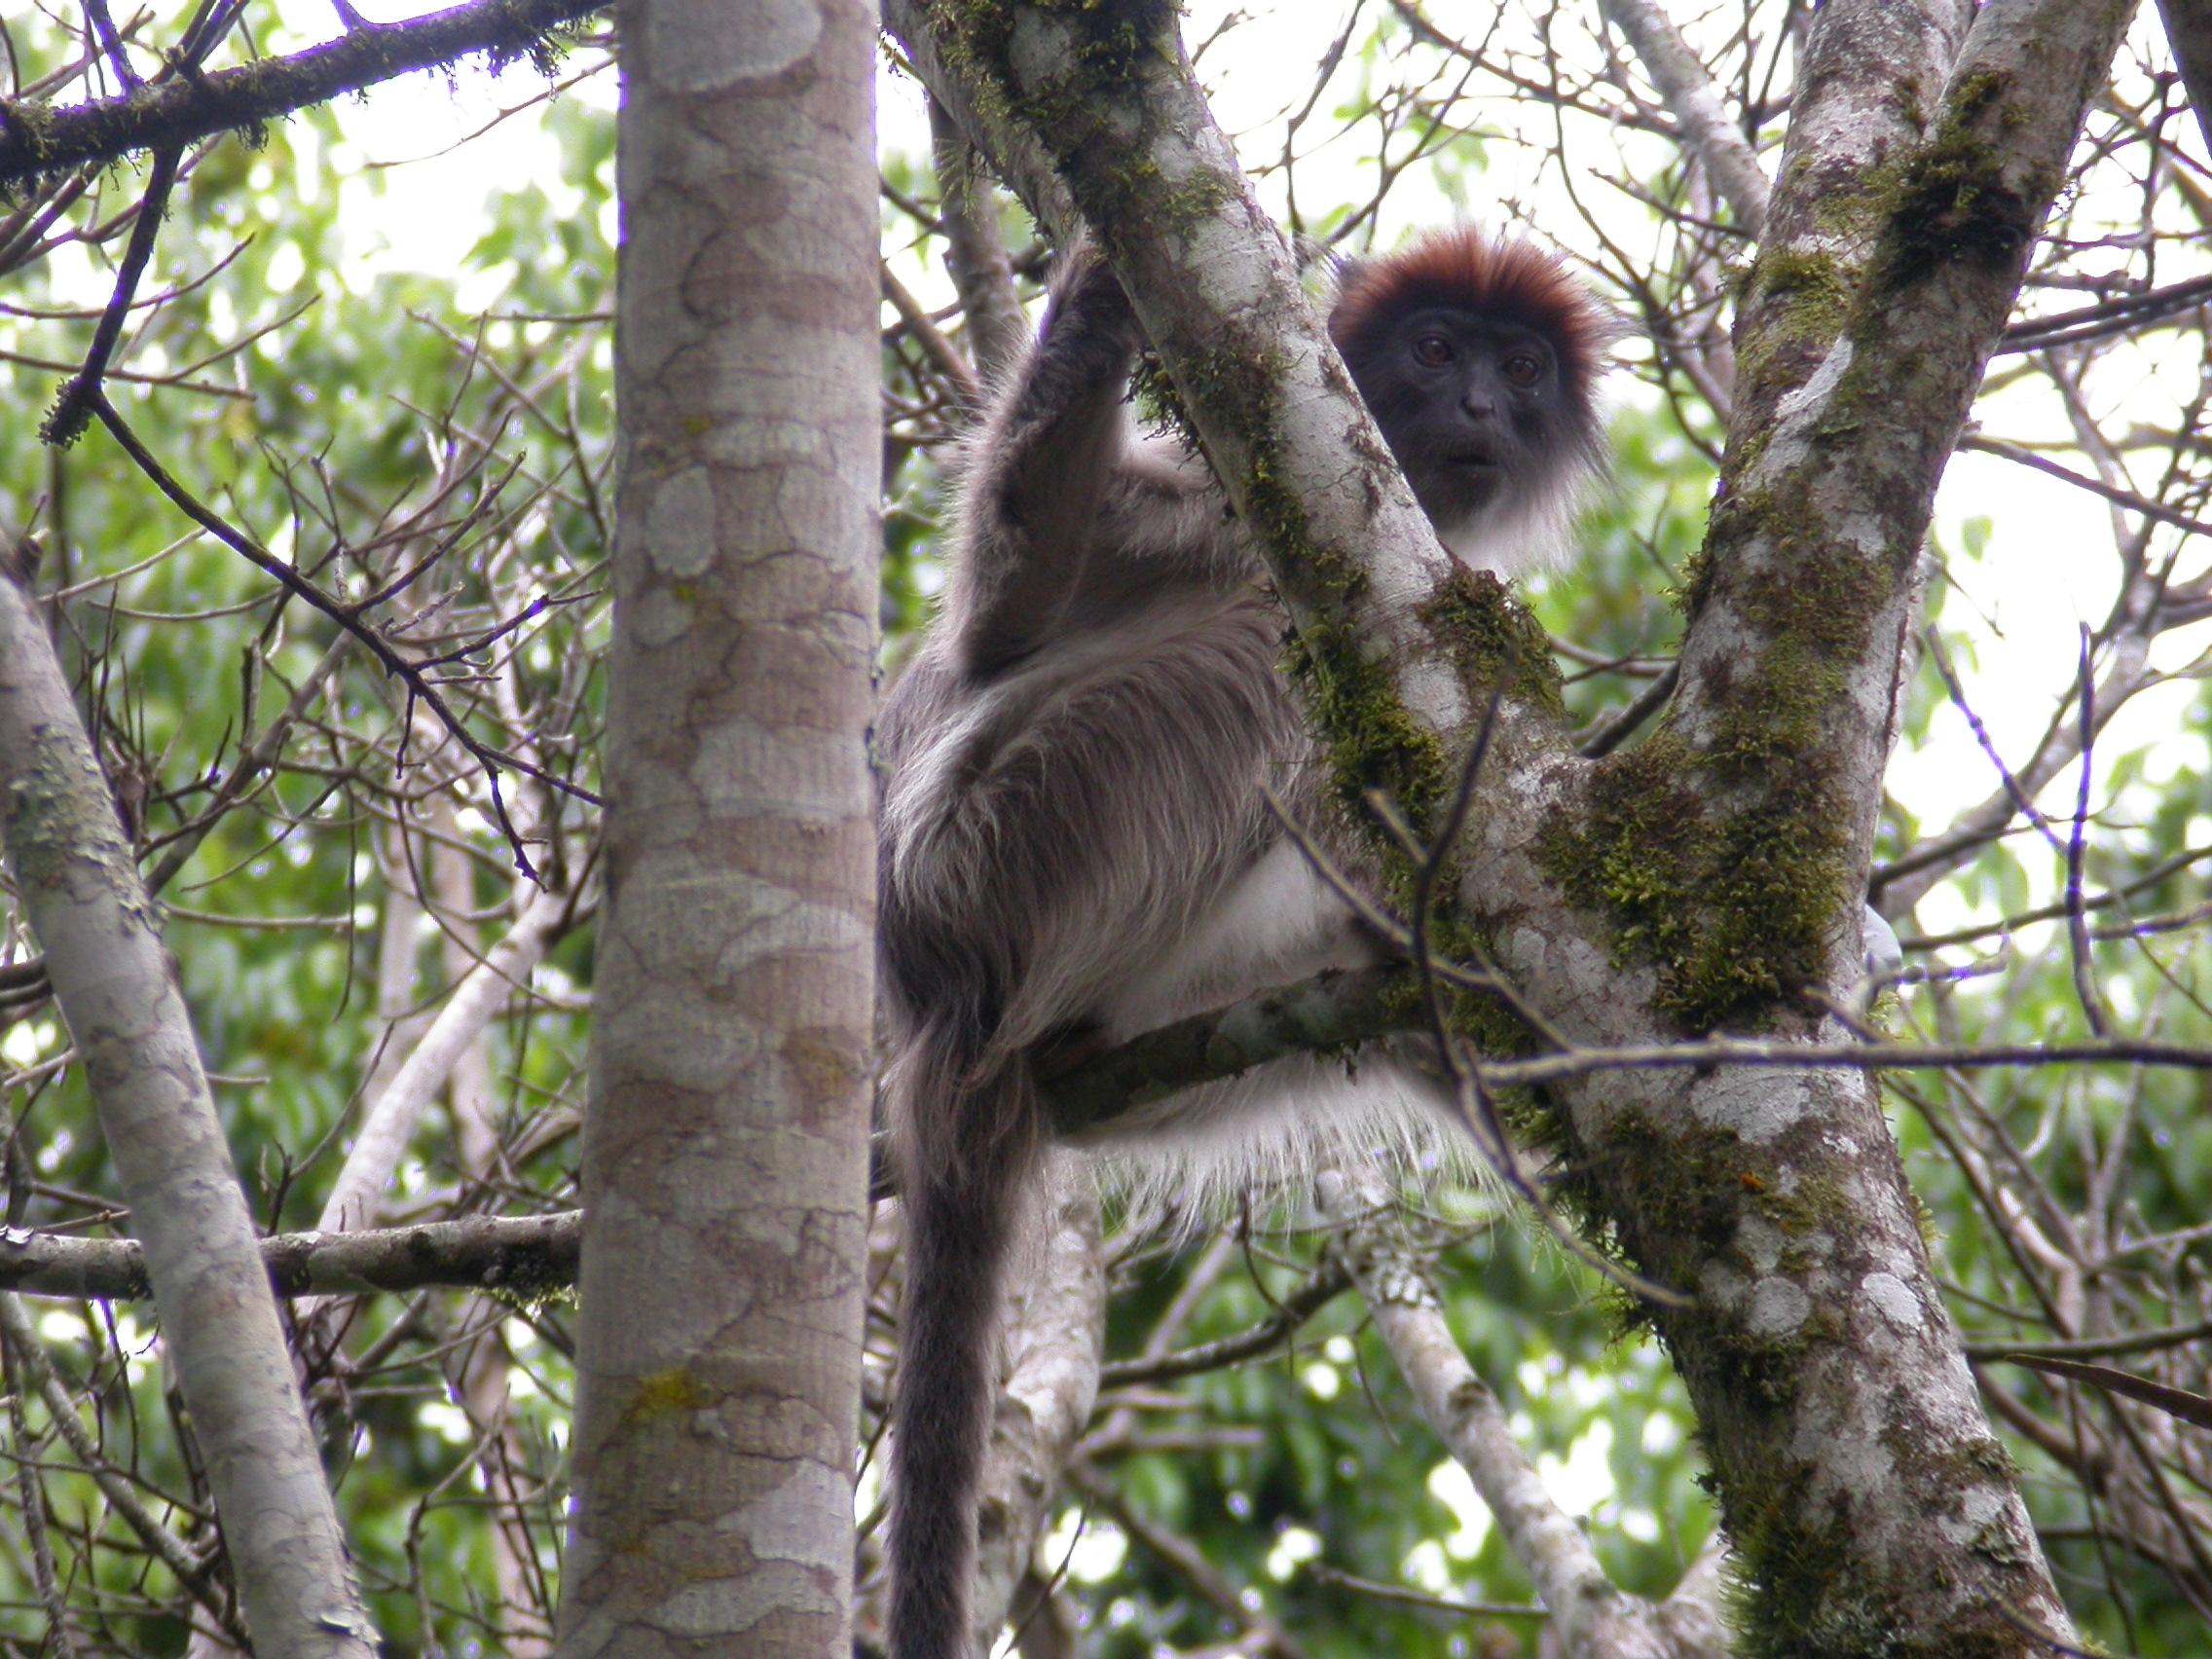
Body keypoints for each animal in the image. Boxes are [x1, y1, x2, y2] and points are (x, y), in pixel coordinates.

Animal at [871, 231, 1619, 1659]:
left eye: (1520, 369)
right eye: (1435, 349)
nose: (1481, 407)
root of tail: (931, 1003)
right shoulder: (1218, 505)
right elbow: (1003, 617)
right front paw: (1099, 288)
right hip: (1024, 842)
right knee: (1263, 660)